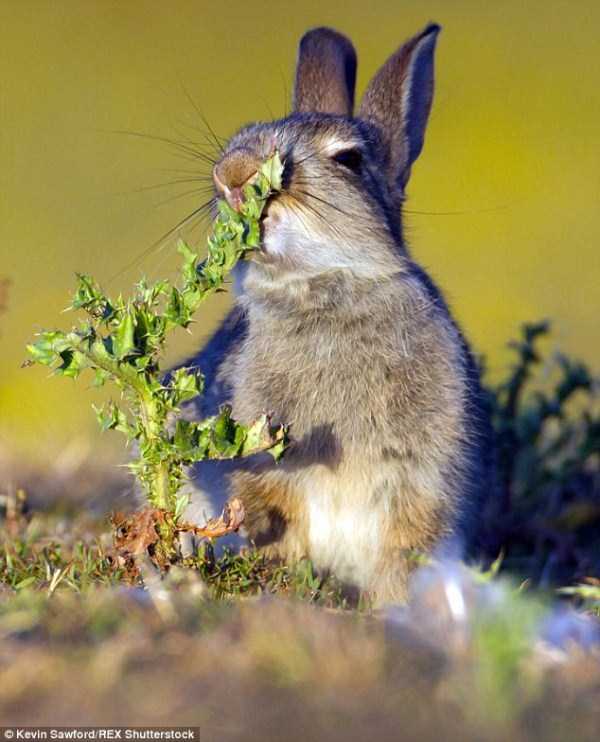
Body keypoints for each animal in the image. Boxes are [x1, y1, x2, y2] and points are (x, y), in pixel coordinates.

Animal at [177, 24, 495, 605]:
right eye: (243, 134)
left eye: (347, 159)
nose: (230, 175)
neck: (321, 289)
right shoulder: (264, 468)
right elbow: (273, 521)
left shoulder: (418, 482)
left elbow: (403, 549)